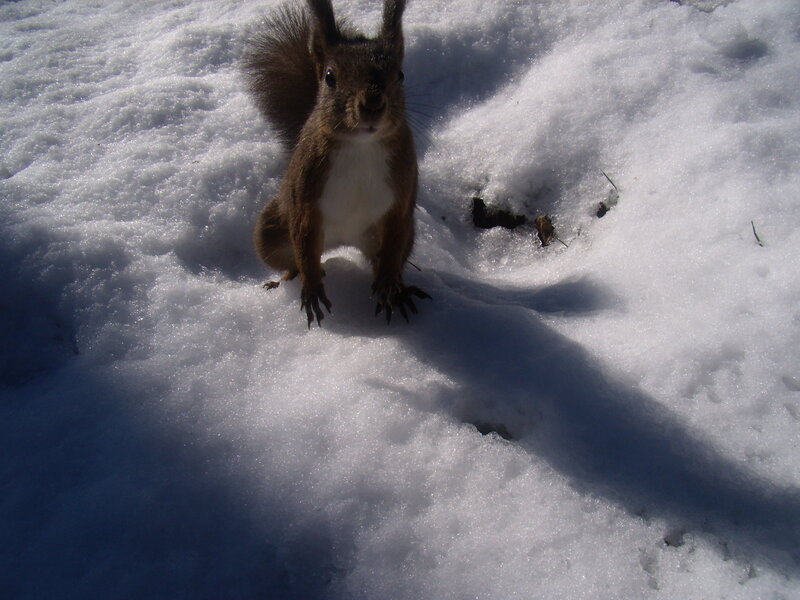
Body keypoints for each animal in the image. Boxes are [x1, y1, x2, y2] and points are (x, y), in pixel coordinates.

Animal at [243, 0, 430, 327]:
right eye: (330, 77)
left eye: (400, 75)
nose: (372, 105)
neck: (361, 146)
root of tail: (341, 241)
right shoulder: (305, 194)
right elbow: (304, 241)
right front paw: (312, 290)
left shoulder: (401, 196)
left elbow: (393, 241)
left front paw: (388, 284)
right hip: (270, 233)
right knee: (297, 260)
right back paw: (286, 280)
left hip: (397, 237)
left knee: (389, 257)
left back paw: (398, 290)